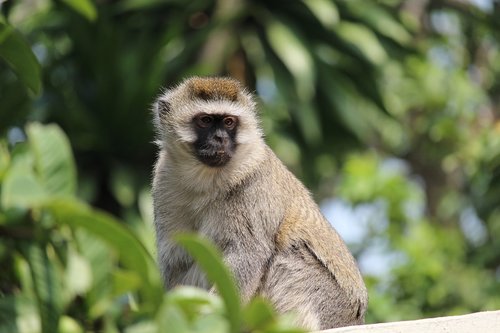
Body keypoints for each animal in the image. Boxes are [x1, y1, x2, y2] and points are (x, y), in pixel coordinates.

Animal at [151, 76, 368, 328]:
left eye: (229, 122)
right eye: (205, 121)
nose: (220, 138)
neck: (205, 179)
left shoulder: (252, 180)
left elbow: (248, 254)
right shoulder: (164, 180)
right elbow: (176, 256)